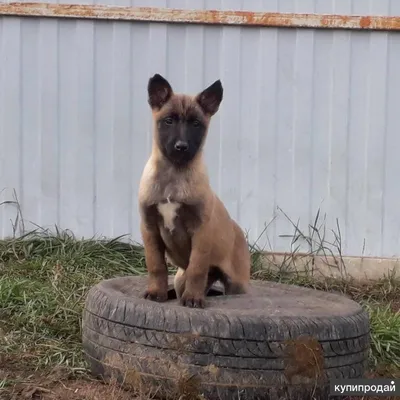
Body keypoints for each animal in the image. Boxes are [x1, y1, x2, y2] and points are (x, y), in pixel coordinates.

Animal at [138, 73, 250, 308]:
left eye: (196, 124)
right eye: (168, 121)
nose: (181, 146)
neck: (174, 173)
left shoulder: (201, 231)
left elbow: (197, 268)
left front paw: (193, 299)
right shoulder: (149, 228)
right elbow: (156, 266)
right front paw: (156, 292)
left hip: (237, 285)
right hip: (180, 279)